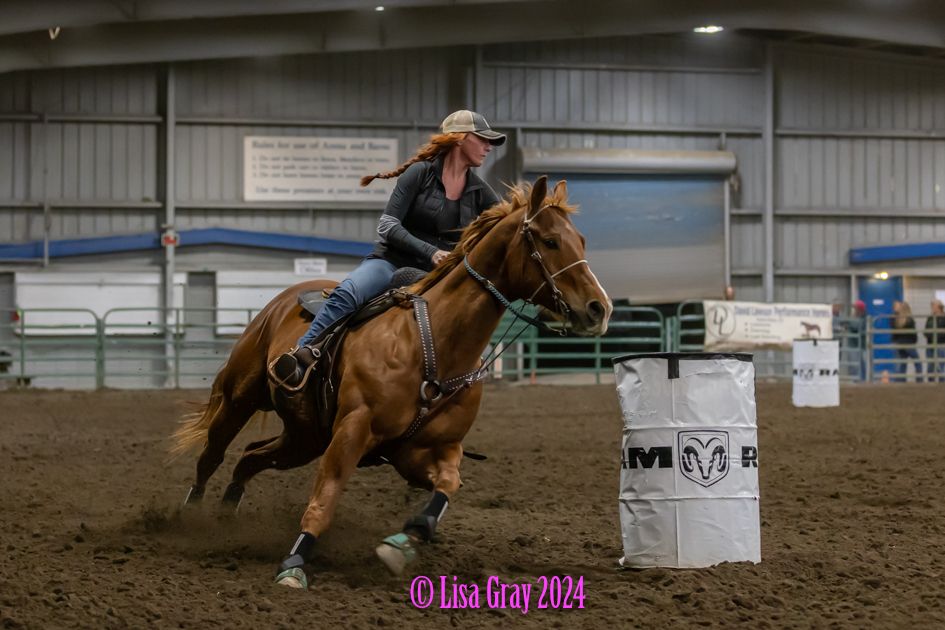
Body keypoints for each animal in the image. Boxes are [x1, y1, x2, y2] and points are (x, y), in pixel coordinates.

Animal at [170, 175, 612, 592]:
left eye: (581, 239)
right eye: (550, 241)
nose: (600, 308)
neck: (434, 344)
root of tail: (282, 300)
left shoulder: (423, 450)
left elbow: (449, 484)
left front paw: (403, 543)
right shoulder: (352, 430)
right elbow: (326, 495)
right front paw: (293, 566)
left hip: (304, 438)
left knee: (250, 457)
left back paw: (227, 518)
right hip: (239, 398)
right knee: (213, 454)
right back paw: (189, 517)